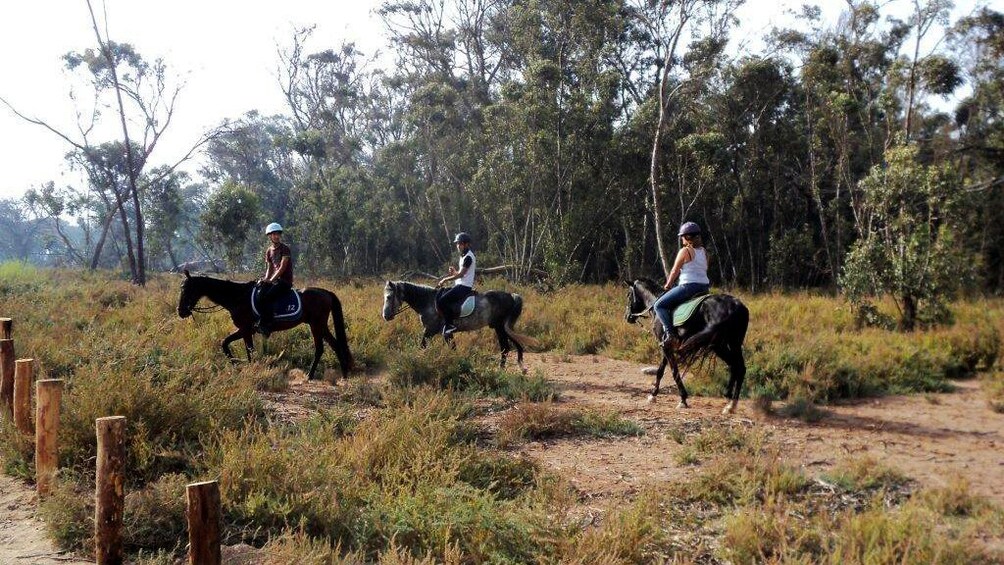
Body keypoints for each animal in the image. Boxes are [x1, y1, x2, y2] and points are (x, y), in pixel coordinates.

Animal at [176, 268, 353, 379]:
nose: (181, 311)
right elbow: (224, 343)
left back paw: (310, 376)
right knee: (335, 345)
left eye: (186, 289)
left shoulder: (246, 329)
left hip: (316, 325)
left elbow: (250, 352)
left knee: (320, 348)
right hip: (320, 325)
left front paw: (249, 369)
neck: (238, 297)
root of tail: (325, 292)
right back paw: (344, 375)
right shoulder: (244, 329)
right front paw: (236, 365)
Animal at [379, 278, 538, 371]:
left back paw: (501, 370)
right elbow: (452, 349)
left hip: (499, 327)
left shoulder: (429, 331)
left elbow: (422, 346)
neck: (428, 302)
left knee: (505, 348)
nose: (386, 316)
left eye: (389, 297)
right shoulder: (445, 334)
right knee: (509, 346)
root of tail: (511, 295)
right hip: (501, 327)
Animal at [622, 278, 750, 415]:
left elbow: (674, 371)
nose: (627, 317)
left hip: (719, 344)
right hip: (731, 343)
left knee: (736, 366)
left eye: (628, 295)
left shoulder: (665, 346)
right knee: (738, 367)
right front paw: (653, 394)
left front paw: (683, 399)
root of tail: (737, 306)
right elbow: (660, 370)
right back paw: (731, 403)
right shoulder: (666, 345)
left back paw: (730, 401)